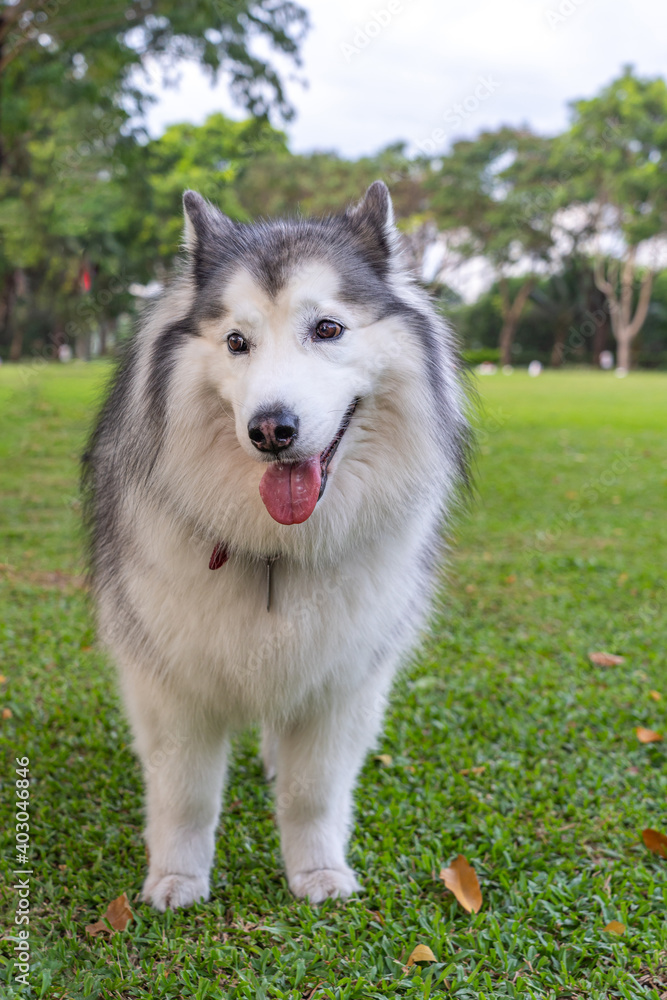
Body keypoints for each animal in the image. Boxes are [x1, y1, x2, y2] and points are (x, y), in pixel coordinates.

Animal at [83, 184, 470, 912]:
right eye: (237, 341)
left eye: (328, 330)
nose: (270, 429)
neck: (275, 551)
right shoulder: (171, 679)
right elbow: (185, 794)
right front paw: (177, 879)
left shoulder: (342, 680)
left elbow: (311, 790)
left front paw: (316, 872)